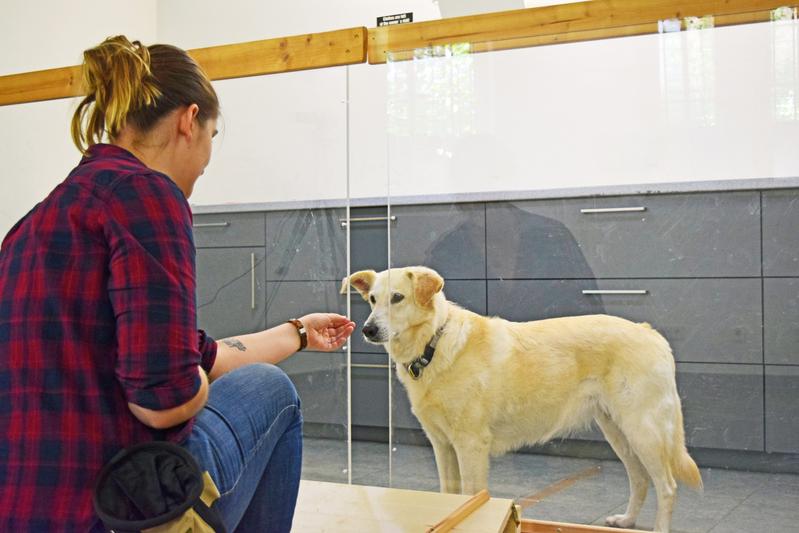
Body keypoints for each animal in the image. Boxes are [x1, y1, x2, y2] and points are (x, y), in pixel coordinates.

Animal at [340, 264, 704, 528]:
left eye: (398, 298)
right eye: (372, 300)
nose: (368, 329)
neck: (434, 343)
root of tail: (649, 332)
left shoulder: (470, 446)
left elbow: (471, 496)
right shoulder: (442, 445)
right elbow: (450, 495)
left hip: (644, 431)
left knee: (667, 487)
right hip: (618, 431)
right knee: (641, 479)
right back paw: (626, 520)